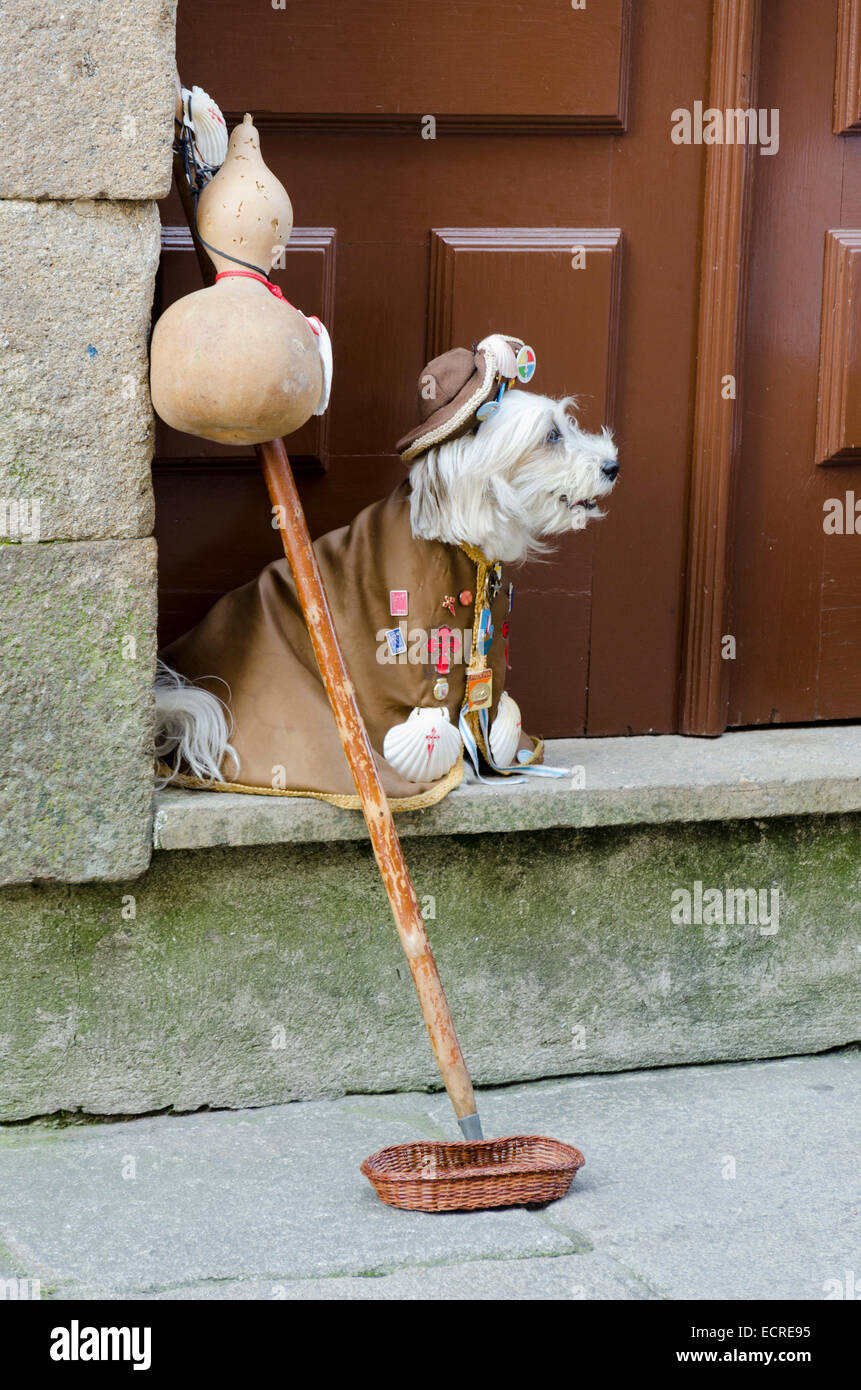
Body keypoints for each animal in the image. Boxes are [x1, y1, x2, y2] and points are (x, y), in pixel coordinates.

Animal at [153, 386, 612, 789]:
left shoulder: (492, 649)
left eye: (566, 425)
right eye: (551, 436)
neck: (458, 534)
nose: (613, 466)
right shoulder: (419, 665)